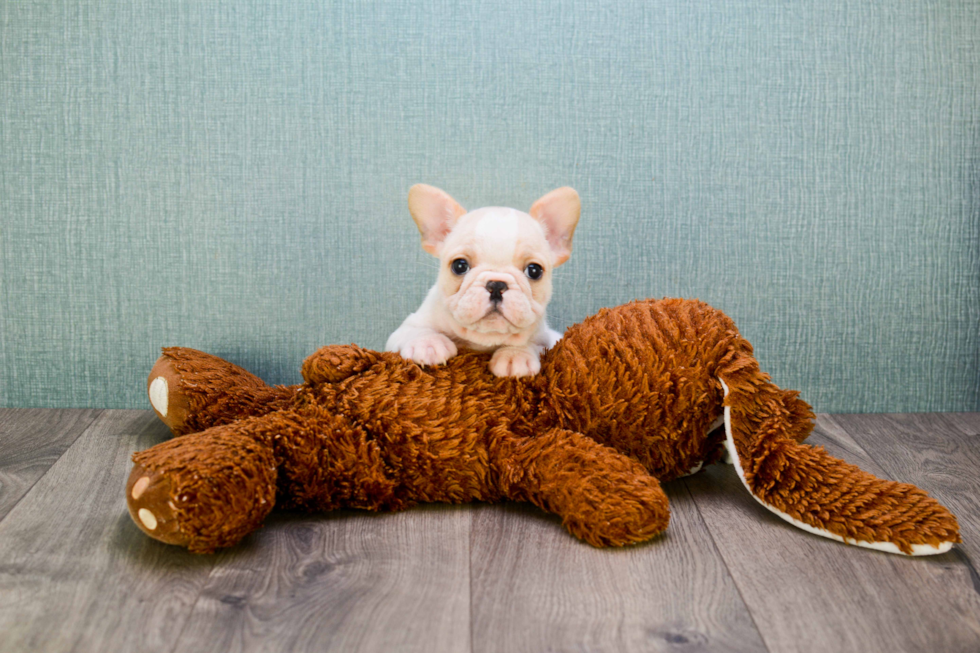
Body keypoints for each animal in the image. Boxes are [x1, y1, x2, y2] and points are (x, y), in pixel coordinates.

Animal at [384, 183, 580, 376]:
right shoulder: (405, 328)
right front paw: (428, 343)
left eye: (534, 271)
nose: (497, 285)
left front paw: (515, 355)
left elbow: (531, 343)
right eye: (459, 266)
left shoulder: (548, 340)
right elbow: (414, 331)